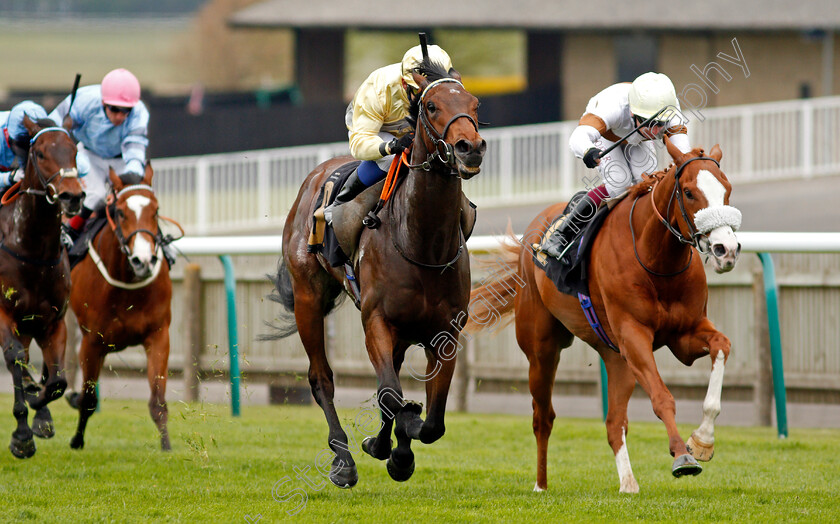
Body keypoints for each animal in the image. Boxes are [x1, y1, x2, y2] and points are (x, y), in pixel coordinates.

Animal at [68, 163, 174, 450]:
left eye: (156, 210)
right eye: (121, 212)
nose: (143, 261)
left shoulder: (158, 334)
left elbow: (158, 400)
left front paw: (167, 446)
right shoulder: (92, 341)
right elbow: (89, 399)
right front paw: (77, 440)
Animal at [270, 61, 486, 488]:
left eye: (474, 103)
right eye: (432, 106)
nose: (470, 148)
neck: (422, 243)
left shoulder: (445, 332)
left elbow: (431, 419)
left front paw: (401, 445)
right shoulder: (377, 320)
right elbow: (390, 396)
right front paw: (386, 446)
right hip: (307, 298)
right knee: (321, 378)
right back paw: (343, 460)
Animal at [470, 138, 740, 492]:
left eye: (727, 189)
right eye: (690, 192)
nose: (727, 250)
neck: (656, 260)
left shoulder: (684, 334)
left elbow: (722, 346)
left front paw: (703, 440)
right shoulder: (633, 335)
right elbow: (662, 397)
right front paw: (682, 455)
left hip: (615, 357)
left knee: (614, 422)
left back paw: (628, 483)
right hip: (542, 351)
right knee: (543, 417)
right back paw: (541, 485)